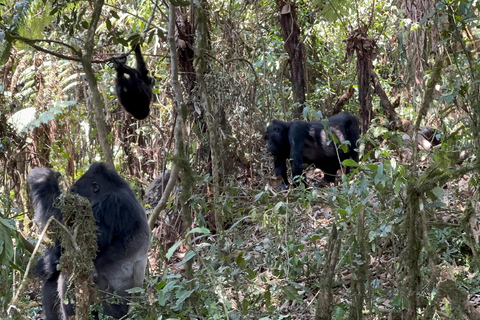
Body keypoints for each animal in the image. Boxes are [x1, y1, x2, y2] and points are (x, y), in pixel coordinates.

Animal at [27, 164, 150, 318]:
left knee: (70, 273)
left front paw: (43, 179)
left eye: (74, 192)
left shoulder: (112, 204)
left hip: (112, 313)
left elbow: (72, 243)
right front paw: (46, 265)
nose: (69, 200)